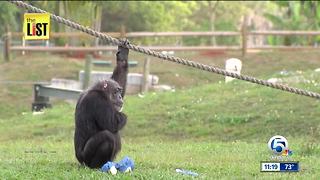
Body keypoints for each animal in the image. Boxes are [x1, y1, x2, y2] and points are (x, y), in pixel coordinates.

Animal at [74, 40, 129, 168]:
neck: (101, 92)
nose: (120, 96)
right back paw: (98, 166)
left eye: (120, 91)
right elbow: (112, 124)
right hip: (86, 159)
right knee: (107, 136)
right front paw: (122, 116)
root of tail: (80, 161)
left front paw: (122, 56)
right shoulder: (98, 101)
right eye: (115, 92)